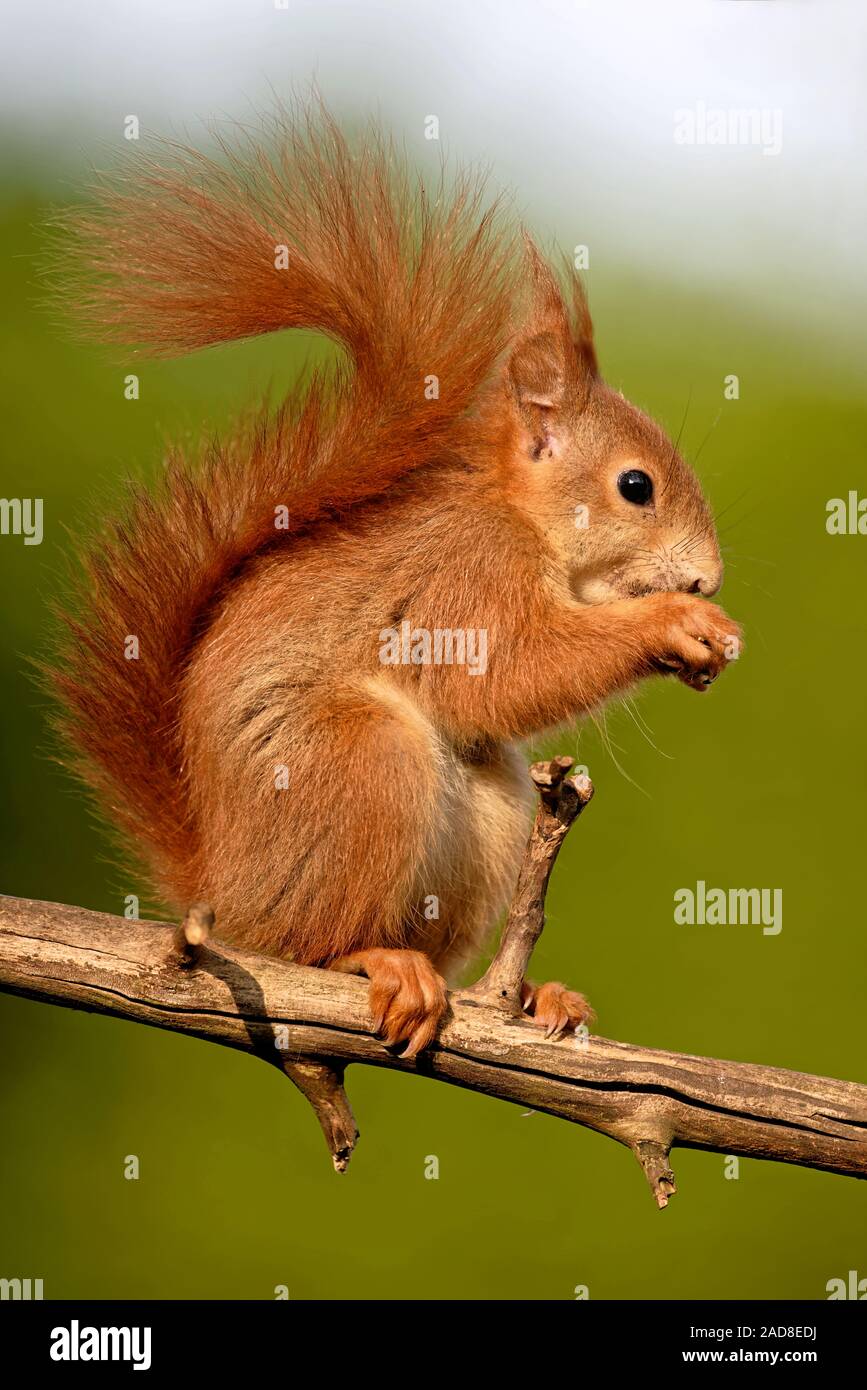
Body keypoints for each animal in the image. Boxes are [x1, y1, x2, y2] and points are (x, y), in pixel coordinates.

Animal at [54, 105, 739, 1050]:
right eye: (634, 487)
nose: (707, 581)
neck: (518, 515)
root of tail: (221, 889)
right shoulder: (469, 576)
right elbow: (504, 675)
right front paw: (672, 625)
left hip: (489, 811)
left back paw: (519, 995)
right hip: (357, 760)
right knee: (308, 943)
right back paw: (374, 962)